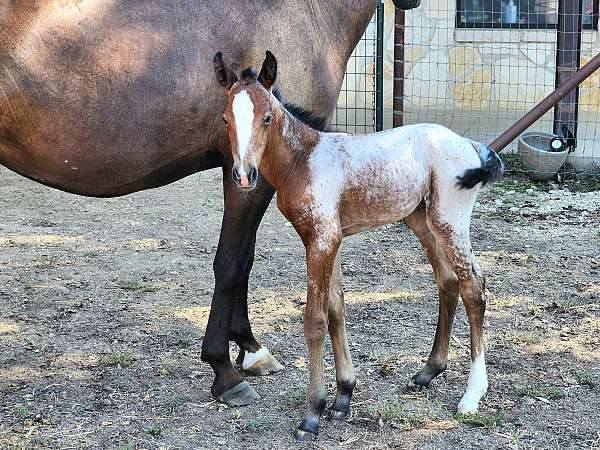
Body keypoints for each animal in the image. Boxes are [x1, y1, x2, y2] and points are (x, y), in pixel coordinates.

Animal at [0, 0, 420, 406]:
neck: (308, 11)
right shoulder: (252, 175)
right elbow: (231, 263)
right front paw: (224, 371)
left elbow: (245, 259)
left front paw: (250, 349)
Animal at [213, 51, 504, 440]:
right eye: (226, 119)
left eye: (267, 117)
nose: (244, 175)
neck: (303, 159)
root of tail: (468, 143)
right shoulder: (330, 238)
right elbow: (337, 309)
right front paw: (342, 398)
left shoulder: (322, 239)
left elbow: (315, 319)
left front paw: (312, 414)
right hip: (421, 221)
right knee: (448, 283)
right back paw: (428, 371)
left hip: (450, 221)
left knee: (474, 286)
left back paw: (472, 395)